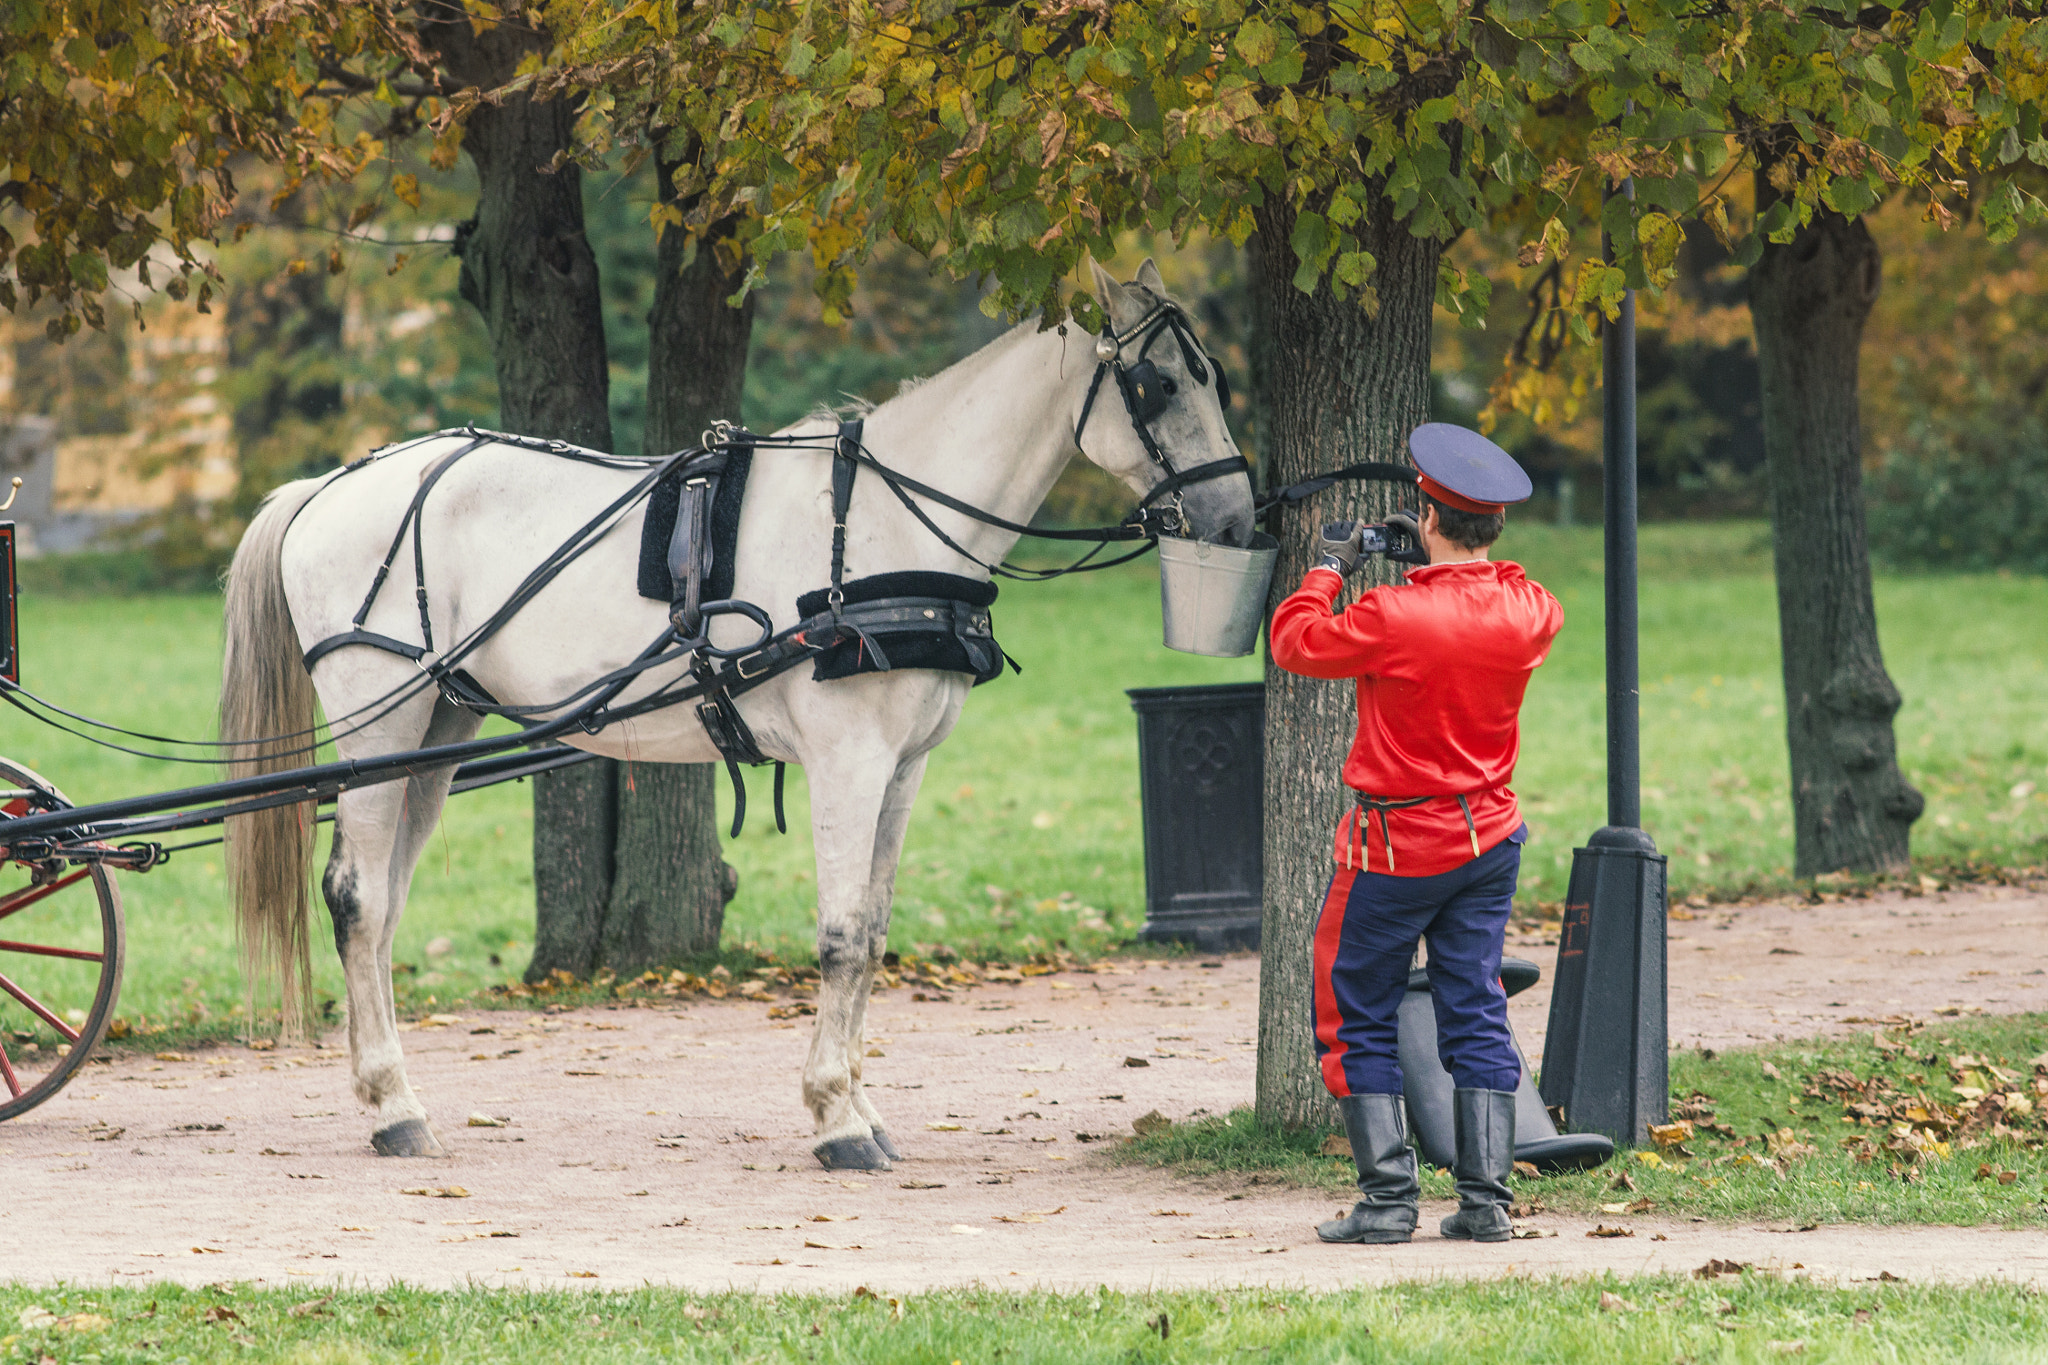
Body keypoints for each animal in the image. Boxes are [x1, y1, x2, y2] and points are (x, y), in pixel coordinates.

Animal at [220, 258, 1245, 1178]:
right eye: (1156, 383)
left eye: (1214, 377)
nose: (1237, 518)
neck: (878, 527)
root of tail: (324, 489)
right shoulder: (847, 758)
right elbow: (841, 935)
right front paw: (836, 1118)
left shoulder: (903, 765)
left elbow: (874, 933)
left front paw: (863, 1103)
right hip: (378, 727)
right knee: (355, 895)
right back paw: (393, 1106)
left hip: (436, 733)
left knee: (385, 905)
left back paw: (393, 1095)